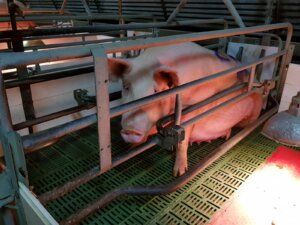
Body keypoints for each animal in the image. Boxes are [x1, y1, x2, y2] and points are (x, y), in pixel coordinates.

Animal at [108, 42, 262, 176]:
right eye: (126, 87)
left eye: (156, 91)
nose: (130, 130)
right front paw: (130, 148)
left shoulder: (192, 110)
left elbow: (183, 142)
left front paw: (179, 173)